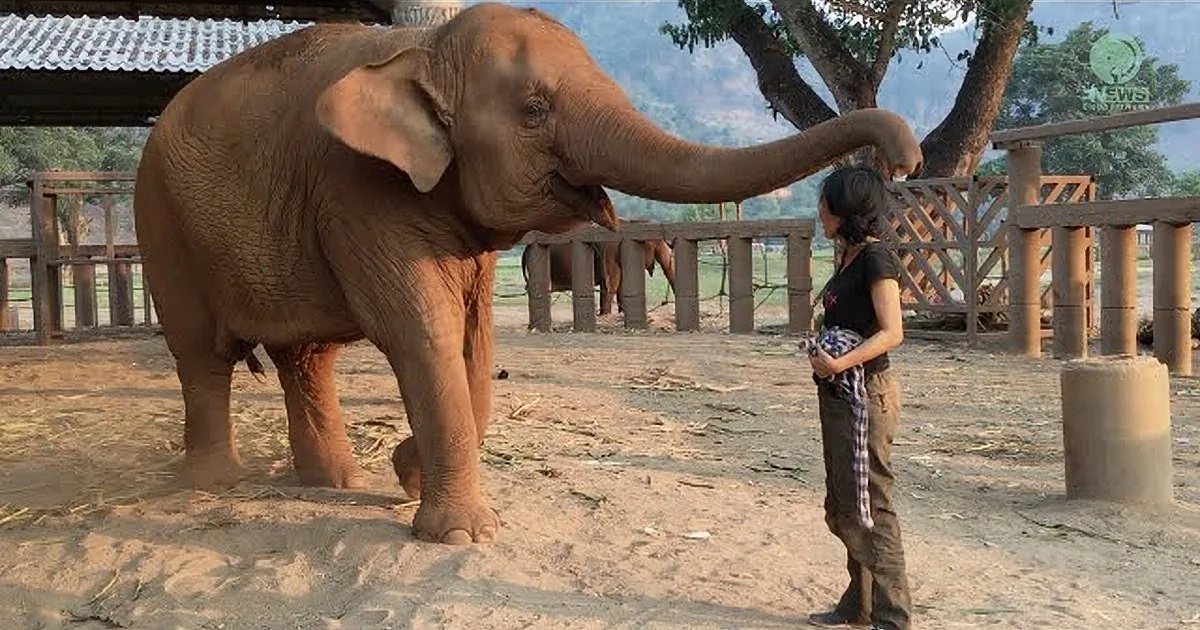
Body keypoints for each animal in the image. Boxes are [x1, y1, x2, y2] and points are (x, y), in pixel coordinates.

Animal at [520, 217, 676, 316]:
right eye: (659, 245)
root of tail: (525, 250)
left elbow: (620, 287)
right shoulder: (610, 251)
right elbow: (611, 285)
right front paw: (605, 316)